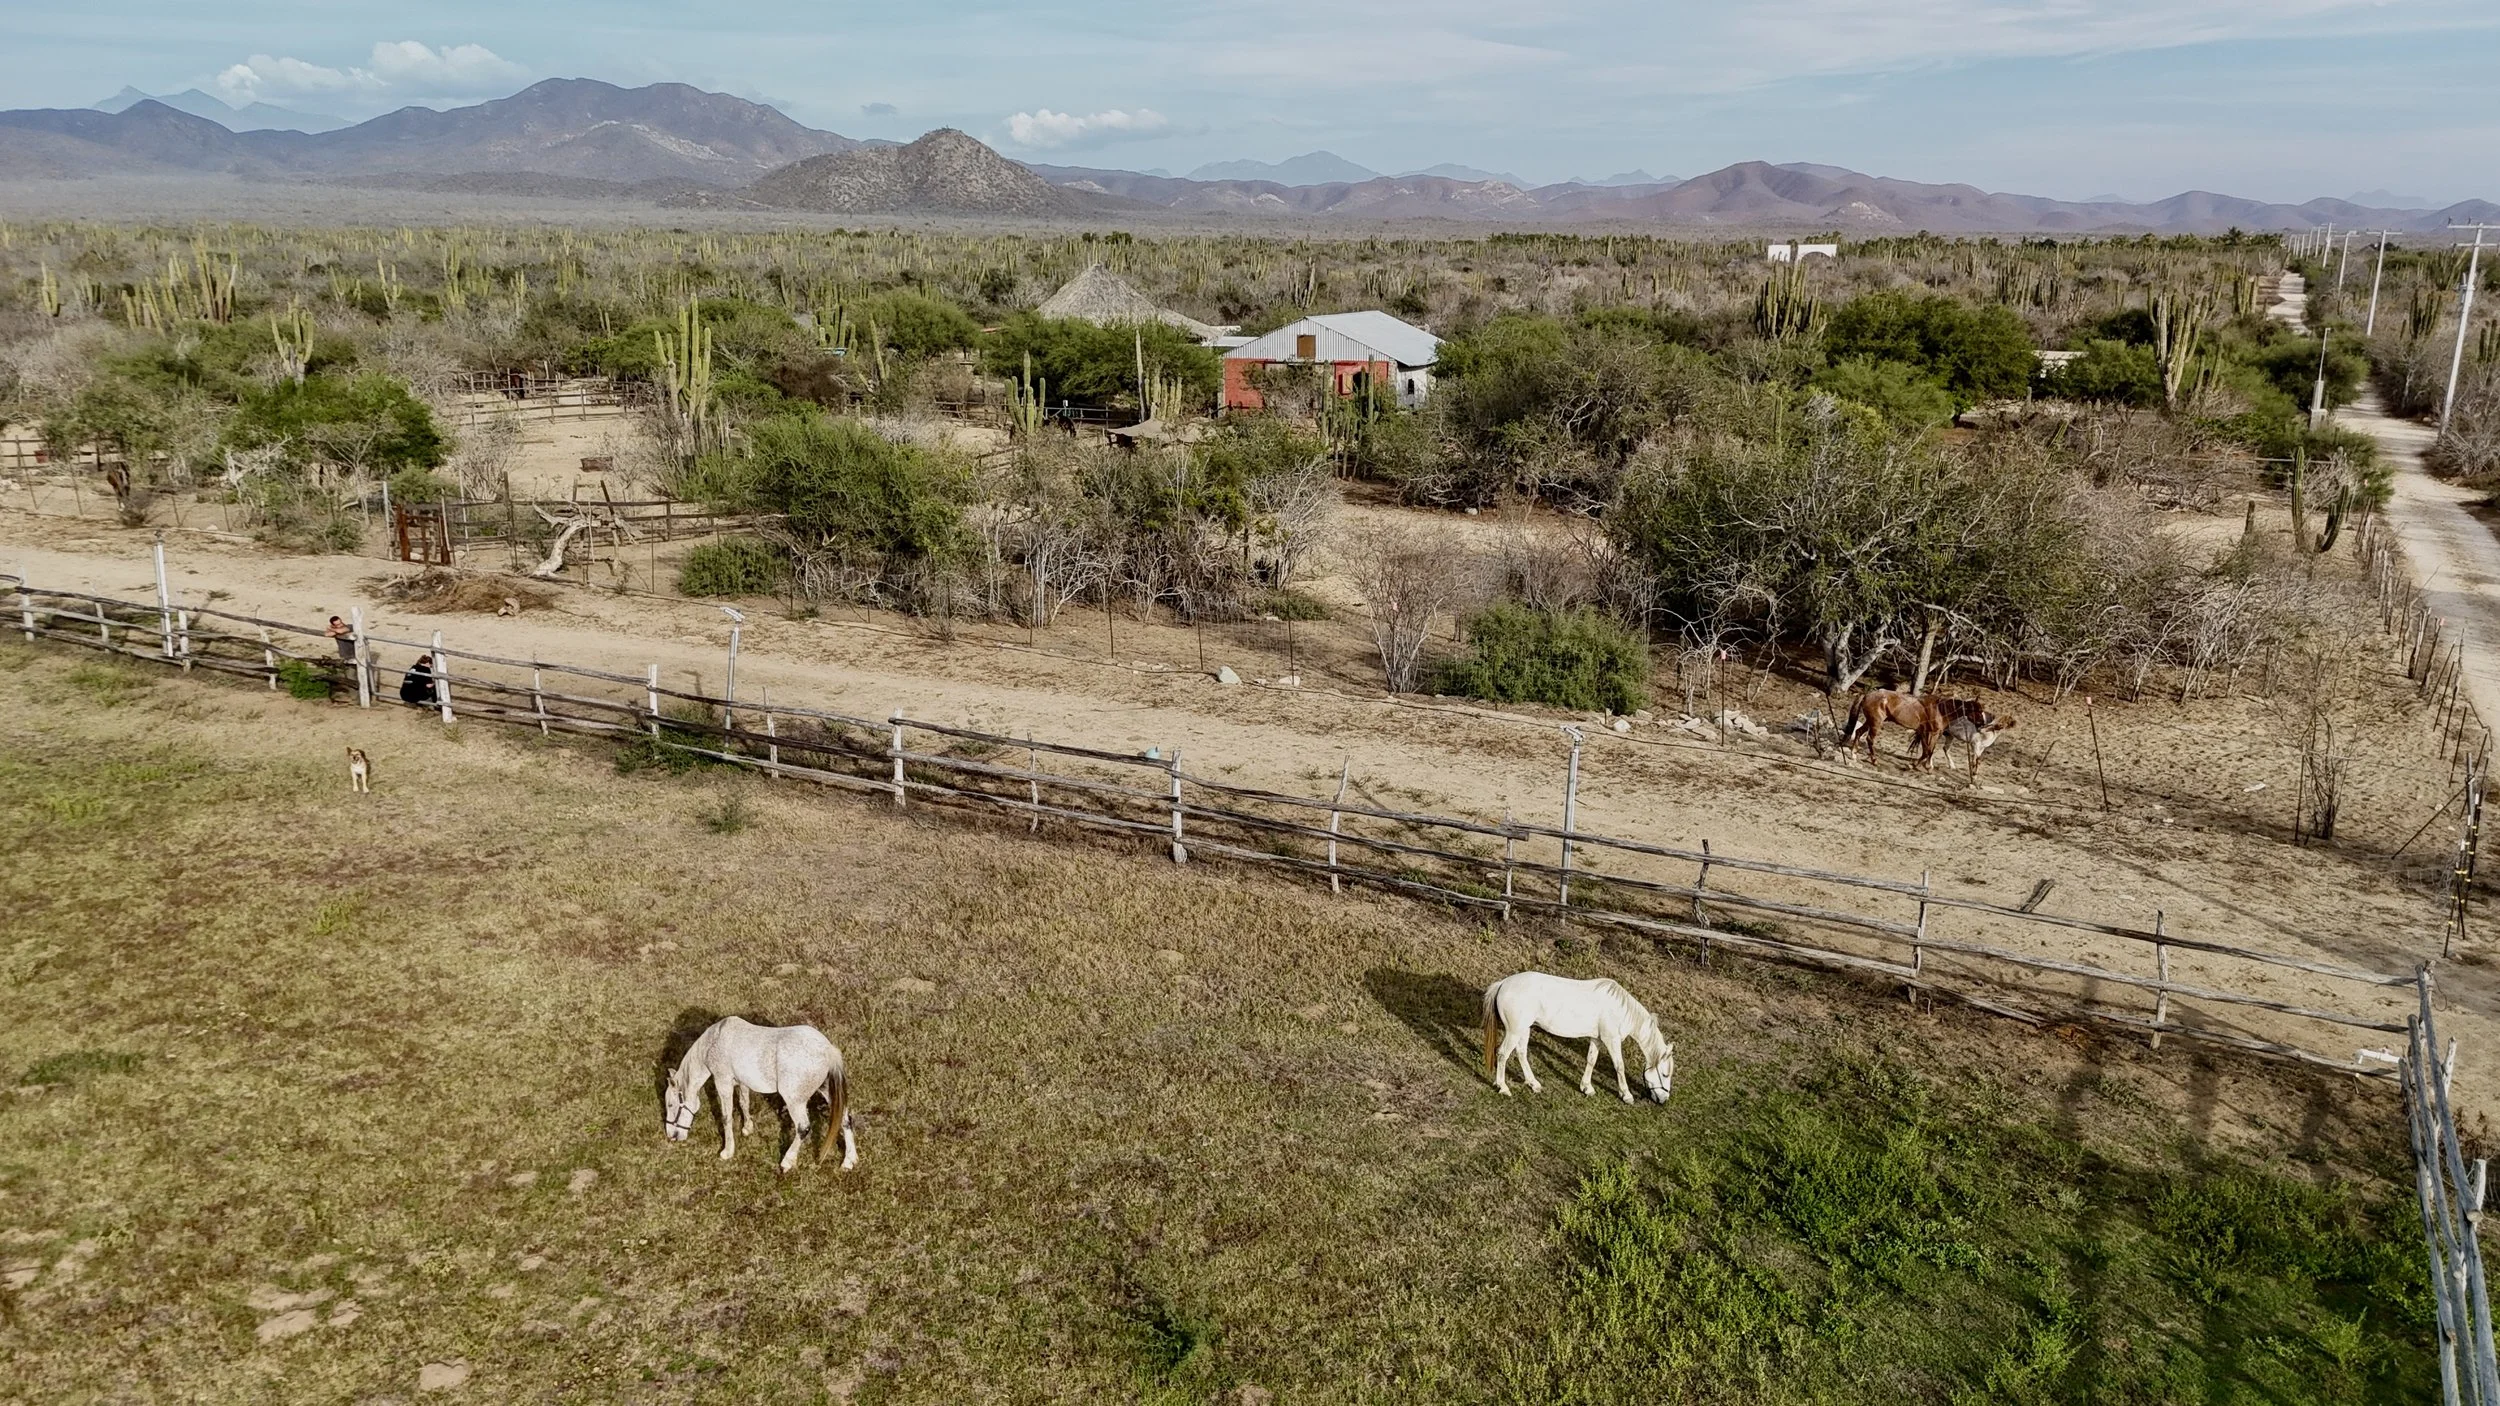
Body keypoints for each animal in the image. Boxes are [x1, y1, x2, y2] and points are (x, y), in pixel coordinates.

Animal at [663, 1017, 856, 1173]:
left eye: (671, 1105)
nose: (671, 1136)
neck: (714, 1041)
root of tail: (828, 1050)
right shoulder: (741, 1082)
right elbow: (743, 1102)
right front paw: (747, 1128)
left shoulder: (722, 1082)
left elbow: (726, 1117)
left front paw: (727, 1152)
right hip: (826, 1090)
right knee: (845, 1119)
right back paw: (849, 1161)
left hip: (795, 1101)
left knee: (803, 1128)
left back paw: (787, 1162)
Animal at [1482, 972, 1674, 1104]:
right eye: (1665, 1074)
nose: (1664, 1099)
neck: (1620, 1009)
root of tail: (1503, 984)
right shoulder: (1611, 1040)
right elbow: (1619, 1066)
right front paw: (1626, 1095)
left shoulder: (1597, 1039)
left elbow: (1591, 1060)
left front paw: (1587, 1087)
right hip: (1514, 1031)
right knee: (1503, 1054)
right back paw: (1503, 1087)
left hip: (1524, 1029)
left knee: (1521, 1053)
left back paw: (1533, 1083)